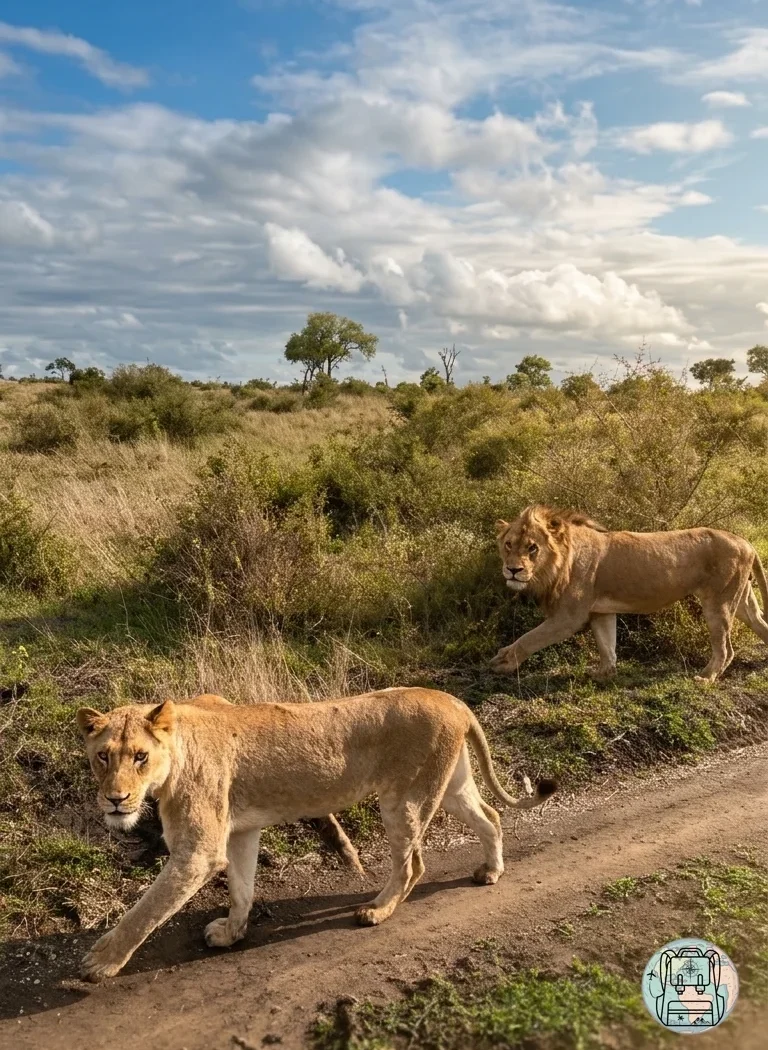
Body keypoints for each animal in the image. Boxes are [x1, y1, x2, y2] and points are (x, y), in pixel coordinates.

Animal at [76, 687, 556, 982]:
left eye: (140, 756)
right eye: (103, 757)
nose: (115, 800)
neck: (176, 751)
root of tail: (454, 701)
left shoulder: (198, 852)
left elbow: (145, 910)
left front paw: (101, 961)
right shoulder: (241, 831)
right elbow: (242, 888)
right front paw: (232, 933)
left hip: (405, 798)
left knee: (412, 863)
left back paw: (377, 911)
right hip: (452, 785)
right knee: (490, 817)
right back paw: (491, 871)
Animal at [492, 505, 768, 682]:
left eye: (532, 548)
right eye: (508, 544)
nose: (512, 570)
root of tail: (746, 542)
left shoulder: (569, 617)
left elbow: (531, 637)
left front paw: (504, 660)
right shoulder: (600, 611)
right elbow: (607, 645)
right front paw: (604, 674)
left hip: (719, 603)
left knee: (725, 648)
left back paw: (705, 678)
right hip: (741, 600)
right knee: (759, 623)